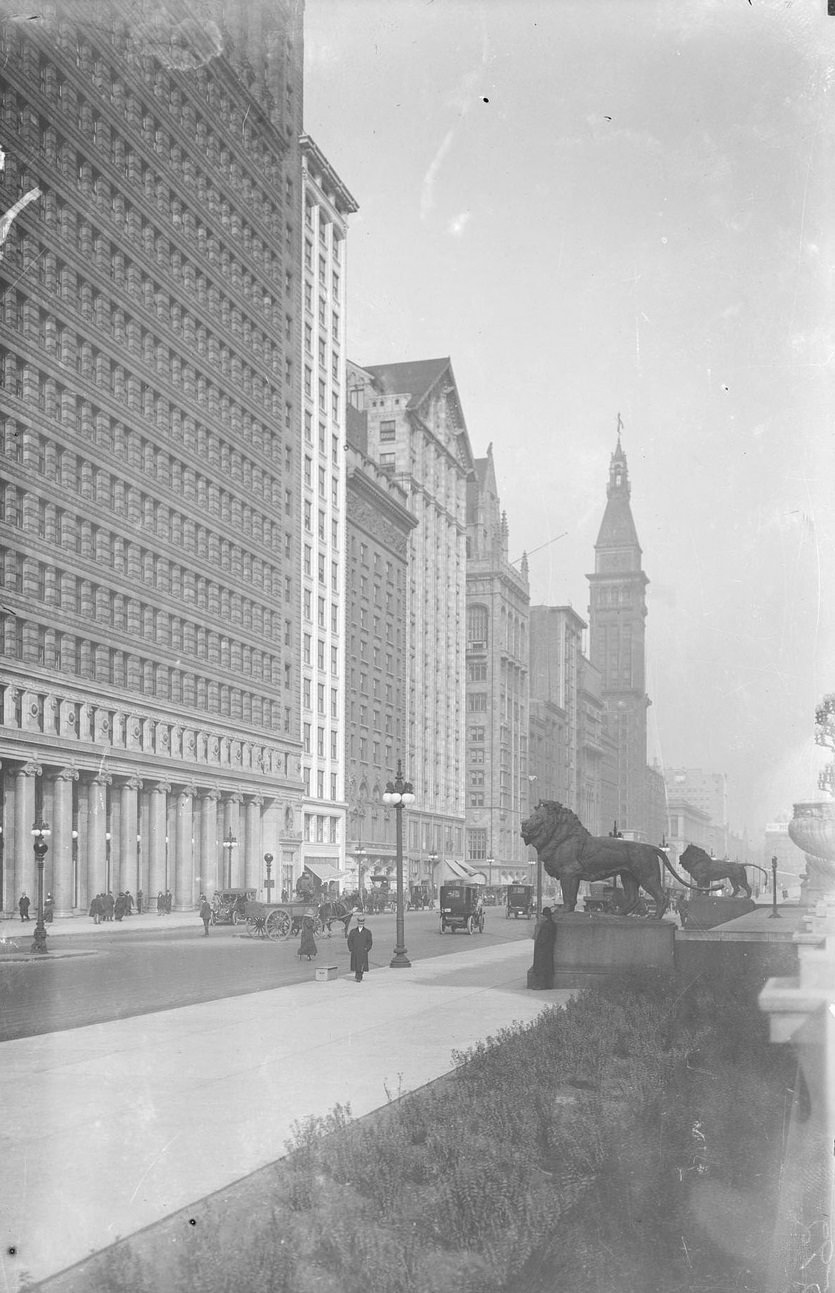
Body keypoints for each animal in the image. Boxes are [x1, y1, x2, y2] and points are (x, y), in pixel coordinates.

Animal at [519, 796, 708, 920]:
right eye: (532, 815)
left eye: (537, 817)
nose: (523, 823)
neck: (559, 836)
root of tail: (650, 847)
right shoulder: (572, 874)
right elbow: (570, 894)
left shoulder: (569, 872)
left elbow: (568, 894)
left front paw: (563, 911)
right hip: (628, 877)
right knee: (633, 898)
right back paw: (618, 913)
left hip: (647, 876)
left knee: (661, 897)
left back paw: (654, 918)